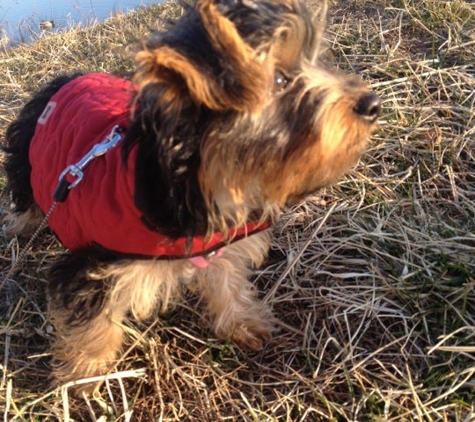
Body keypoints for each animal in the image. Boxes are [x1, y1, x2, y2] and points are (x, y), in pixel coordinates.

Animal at [0, 0, 380, 388]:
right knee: (25, 196)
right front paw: (84, 374)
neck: (199, 179)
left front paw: (242, 322)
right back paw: (19, 226)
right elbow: (92, 321)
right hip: (27, 159)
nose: (371, 103)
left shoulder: (220, 242)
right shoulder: (95, 263)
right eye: (279, 80)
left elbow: (228, 281)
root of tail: (66, 78)